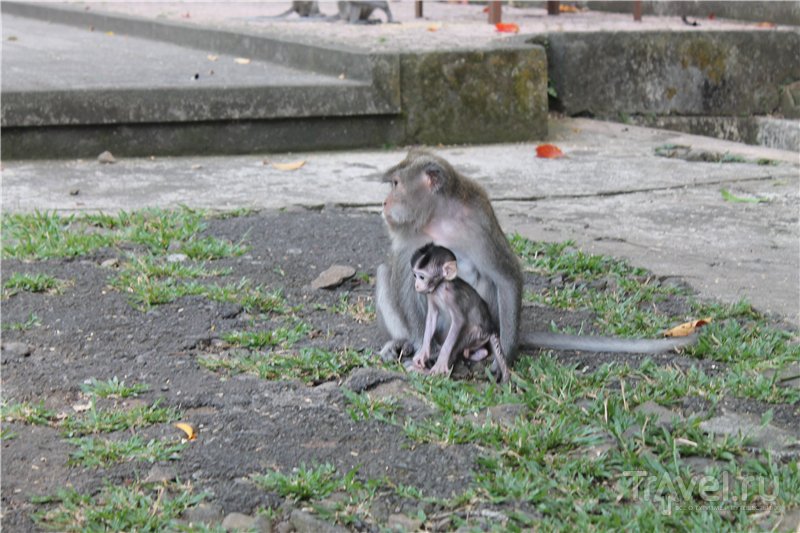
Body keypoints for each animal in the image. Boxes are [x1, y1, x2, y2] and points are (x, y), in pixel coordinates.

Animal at [378, 149, 696, 366]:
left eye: (395, 184)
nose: (384, 203)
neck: (438, 216)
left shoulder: (479, 218)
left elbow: (505, 276)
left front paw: (505, 355)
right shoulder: (410, 234)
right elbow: (405, 279)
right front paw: (421, 347)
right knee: (386, 273)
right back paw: (404, 343)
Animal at [412, 241, 512, 382]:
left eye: (422, 277)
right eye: (415, 275)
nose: (416, 285)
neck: (440, 287)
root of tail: (491, 328)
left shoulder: (452, 297)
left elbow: (459, 321)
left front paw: (441, 363)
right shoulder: (431, 294)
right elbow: (431, 318)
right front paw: (423, 354)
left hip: (479, 333)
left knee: (461, 338)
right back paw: (475, 353)